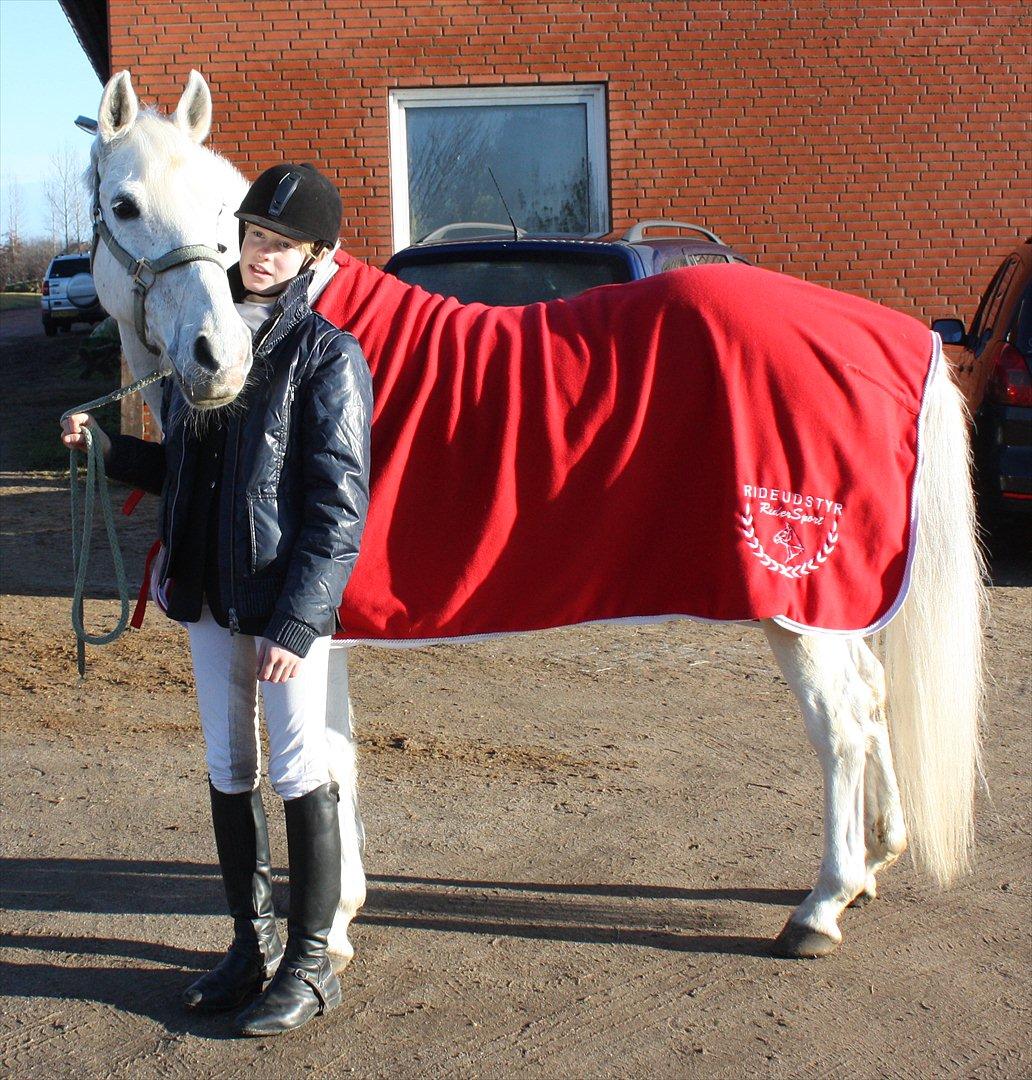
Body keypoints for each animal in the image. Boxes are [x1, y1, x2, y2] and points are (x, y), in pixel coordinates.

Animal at [88, 71, 984, 967]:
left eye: (219, 214)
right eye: (125, 205)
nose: (219, 360)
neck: (301, 324)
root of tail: (895, 337)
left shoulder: (310, 628)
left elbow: (330, 765)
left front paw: (333, 928)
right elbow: (336, 761)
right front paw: (340, 916)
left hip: (796, 597)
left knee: (841, 726)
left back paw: (822, 907)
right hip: (831, 603)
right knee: (873, 700)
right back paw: (876, 860)